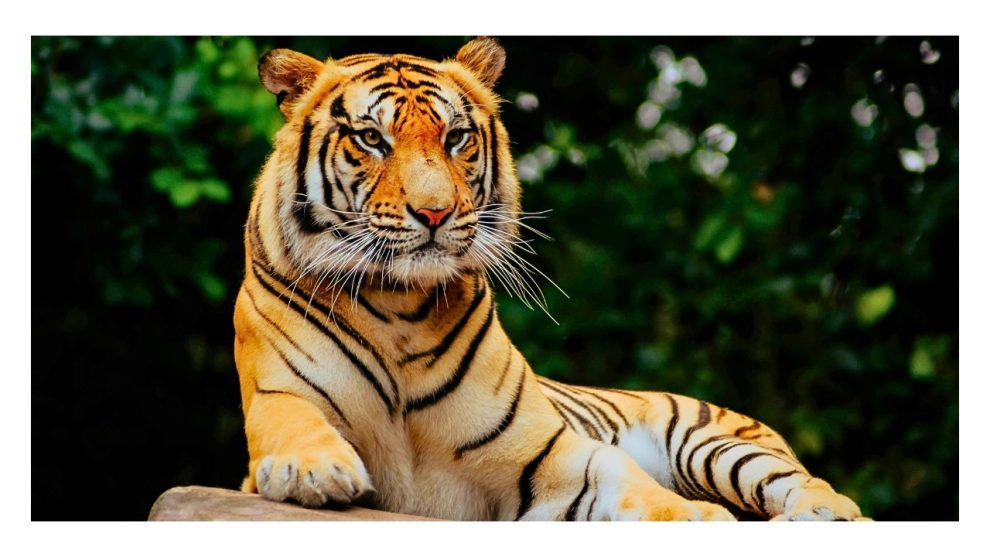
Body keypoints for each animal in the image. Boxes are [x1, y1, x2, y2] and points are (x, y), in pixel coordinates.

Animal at [232, 37, 866, 521]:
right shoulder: (277, 394)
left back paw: (820, 512)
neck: (399, 309)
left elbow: (626, 478)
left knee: (816, 490)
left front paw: (698, 516)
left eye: (456, 138)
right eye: (371, 138)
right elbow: (294, 422)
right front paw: (313, 468)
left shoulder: (548, 452)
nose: (435, 213)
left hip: (713, 445)